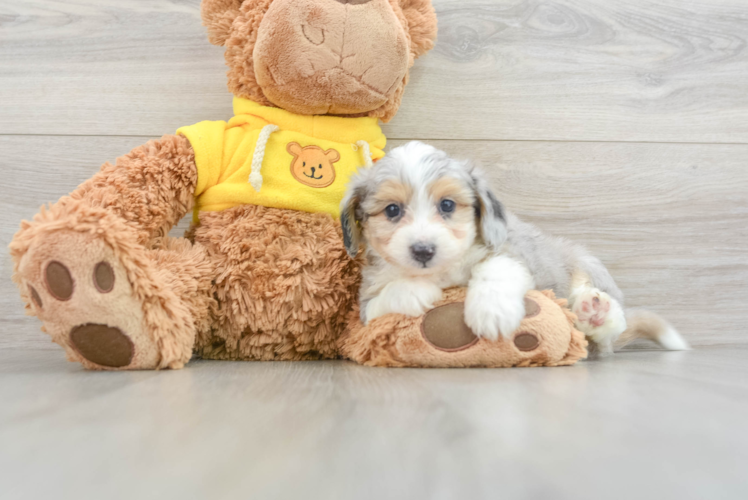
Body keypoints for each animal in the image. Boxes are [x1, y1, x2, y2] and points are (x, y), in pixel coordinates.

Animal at [338, 139, 688, 354]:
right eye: (392, 210)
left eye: (447, 205)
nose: (423, 251)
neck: (443, 272)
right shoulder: (365, 306)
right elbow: (387, 297)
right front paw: (414, 290)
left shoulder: (510, 253)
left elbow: (496, 270)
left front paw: (491, 312)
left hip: (587, 265)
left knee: (607, 333)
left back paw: (595, 312)